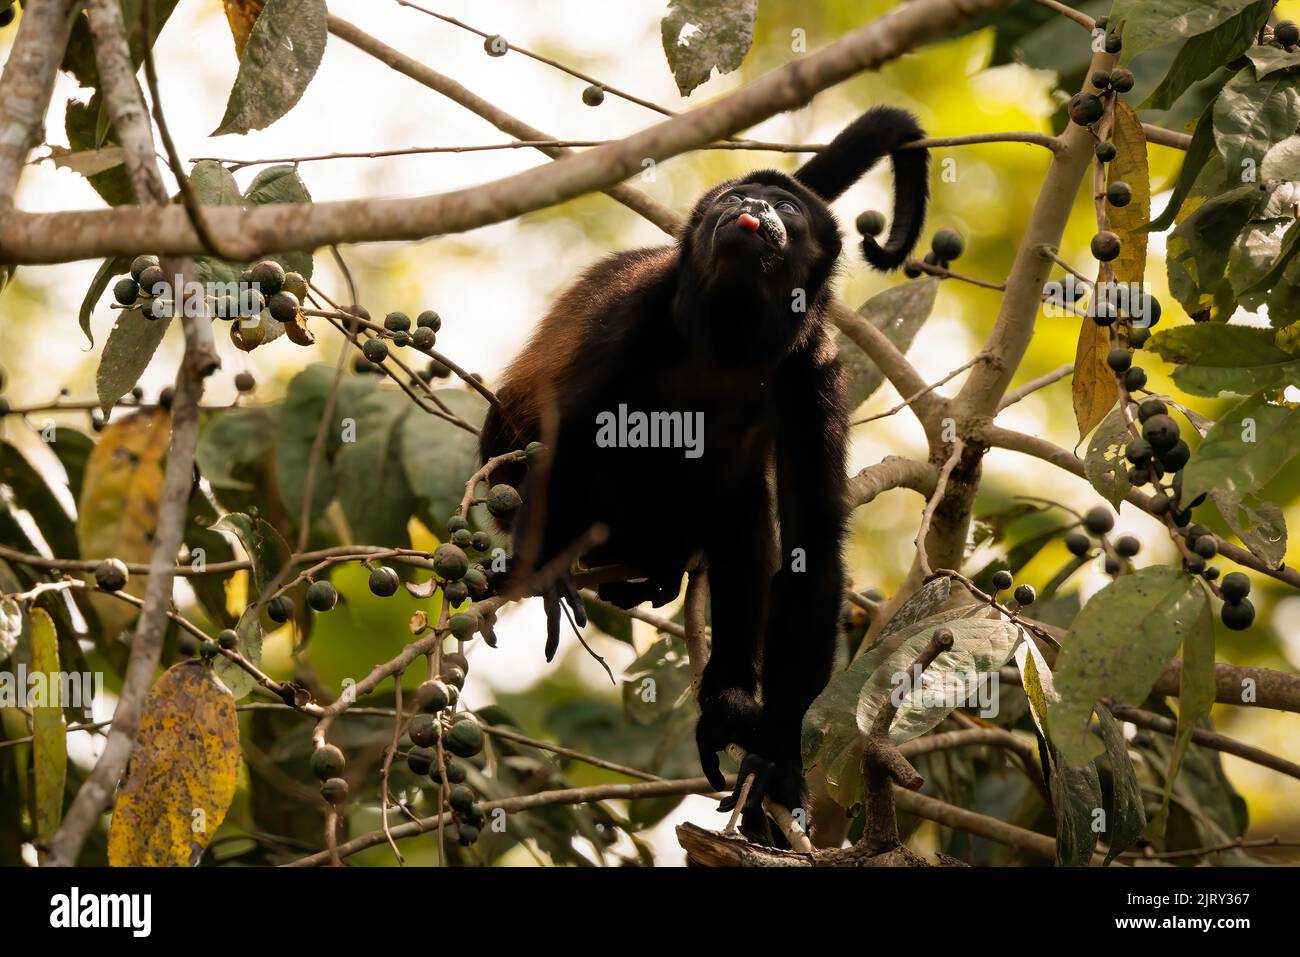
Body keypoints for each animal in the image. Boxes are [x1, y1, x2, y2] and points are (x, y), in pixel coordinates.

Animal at [483, 108, 930, 816]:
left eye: (786, 208)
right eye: (735, 197)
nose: (753, 205)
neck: (731, 335)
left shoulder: (816, 369)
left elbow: (810, 542)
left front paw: (777, 757)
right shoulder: (635, 320)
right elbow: (568, 446)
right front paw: (546, 571)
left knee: (743, 508)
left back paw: (728, 696)